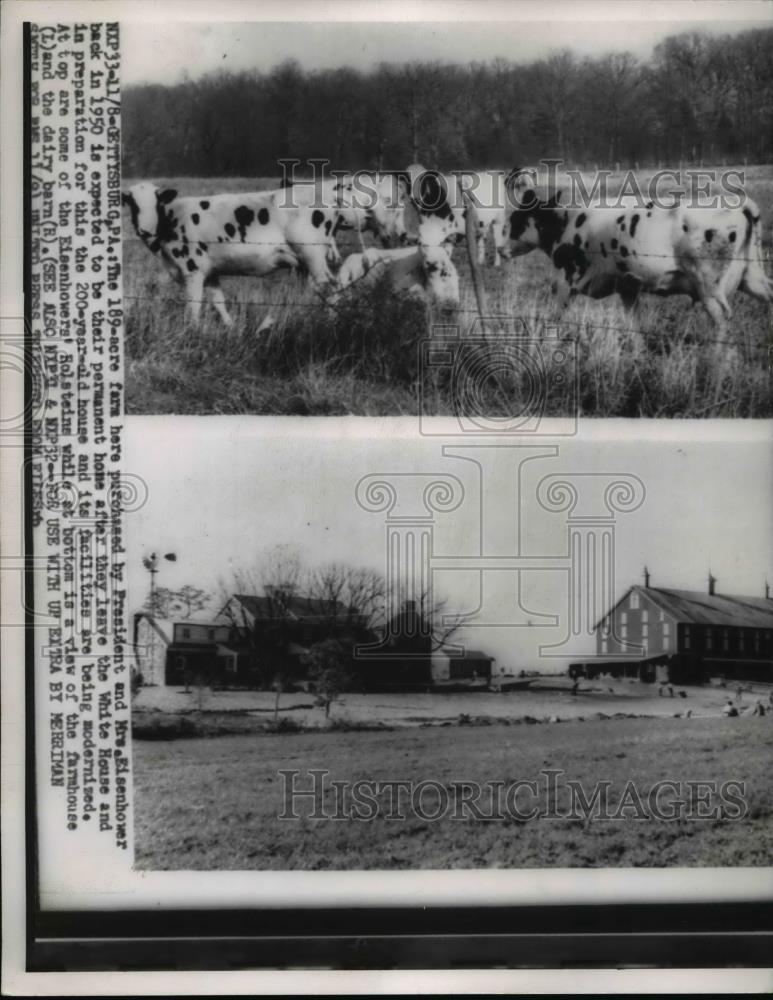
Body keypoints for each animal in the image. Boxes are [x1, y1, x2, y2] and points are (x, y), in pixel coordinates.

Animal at [122, 182, 340, 326]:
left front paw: (191, 331)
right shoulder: (210, 271)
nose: (145, 230)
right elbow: (218, 301)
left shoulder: (192, 269)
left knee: (329, 288)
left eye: (157, 203)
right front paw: (231, 328)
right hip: (306, 263)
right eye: (132, 204)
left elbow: (193, 305)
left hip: (312, 255)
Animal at [504, 186, 768, 326]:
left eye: (515, 220)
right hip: (752, 276)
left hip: (710, 288)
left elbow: (557, 318)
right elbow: (634, 326)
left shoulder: (565, 282)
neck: (568, 221)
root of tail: (739, 203)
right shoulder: (627, 287)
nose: (500, 248)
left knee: (722, 324)